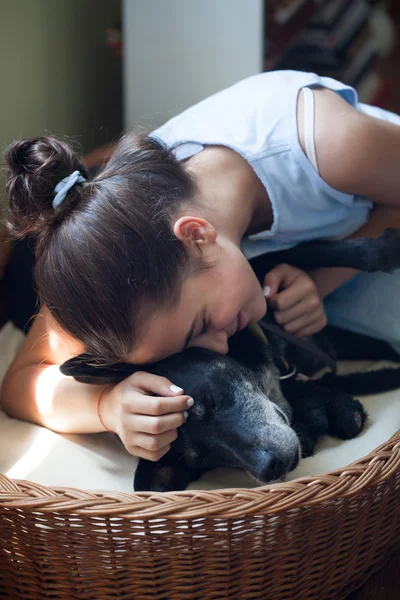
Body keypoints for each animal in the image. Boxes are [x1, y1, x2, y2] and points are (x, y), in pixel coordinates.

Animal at [61, 227, 400, 490]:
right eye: (207, 457)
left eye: (211, 398)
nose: (271, 467)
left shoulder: (262, 273)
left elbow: (316, 251)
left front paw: (383, 248)